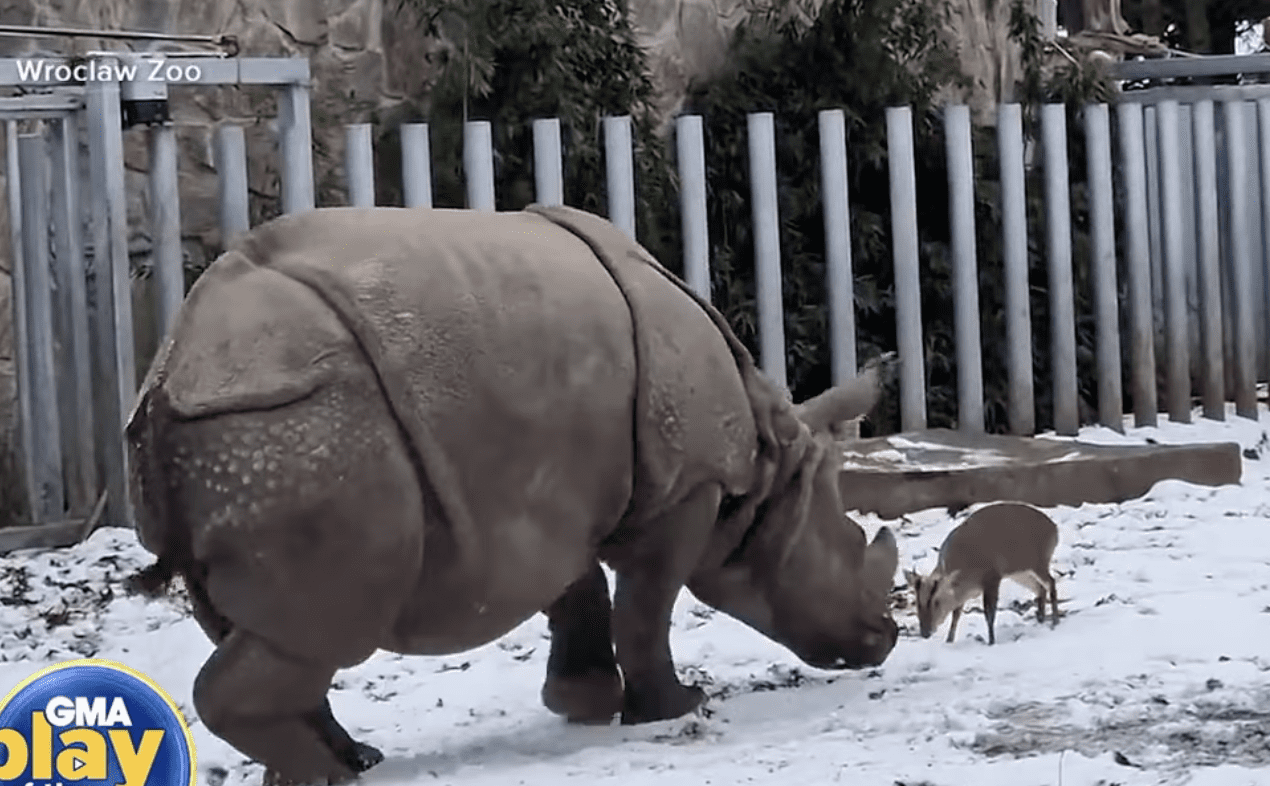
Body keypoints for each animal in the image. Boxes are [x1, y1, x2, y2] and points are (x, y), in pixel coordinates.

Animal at [125, 204, 900, 785]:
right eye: (849, 542)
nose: (885, 639)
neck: (771, 466)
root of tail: (172, 373)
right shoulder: (686, 490)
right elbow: (646, 606)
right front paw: (676, 707)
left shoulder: (545, 503)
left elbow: (578, 589)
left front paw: (582, 702)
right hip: (298, 429)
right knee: (324, 626)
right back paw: (331, 775)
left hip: (249, 434)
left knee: (272, 629)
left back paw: (351, 760)